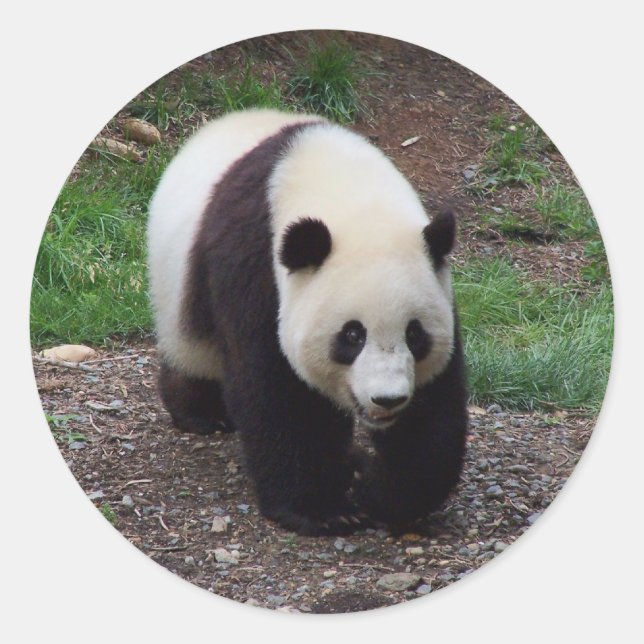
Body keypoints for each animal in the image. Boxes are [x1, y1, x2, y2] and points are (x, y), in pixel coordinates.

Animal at [147, 108, 468, 535]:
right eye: (352, 334)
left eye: (415, 334)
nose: (387, 399)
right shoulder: (255, 264)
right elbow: (278, 390)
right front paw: (323, 509)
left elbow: (433, 408)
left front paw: (380, 494)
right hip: (177, 282)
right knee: (193, 350)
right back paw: (202, 413)